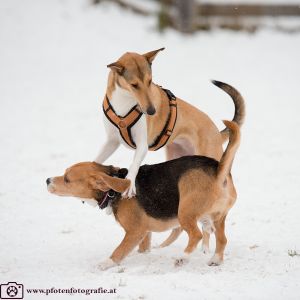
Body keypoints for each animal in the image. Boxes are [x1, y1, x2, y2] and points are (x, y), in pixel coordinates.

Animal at [47, 120, 240, 270]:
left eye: (67, 179)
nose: (47, 180)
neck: (113, 191)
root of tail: (218, 171)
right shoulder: (144, 233)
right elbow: (141, 249)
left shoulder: (135, 231)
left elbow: (119, 250)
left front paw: (105, 263)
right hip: (217, 218)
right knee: (222, 240)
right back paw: (215, 260)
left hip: (185, 213)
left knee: (197, 236)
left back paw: (182, 258)